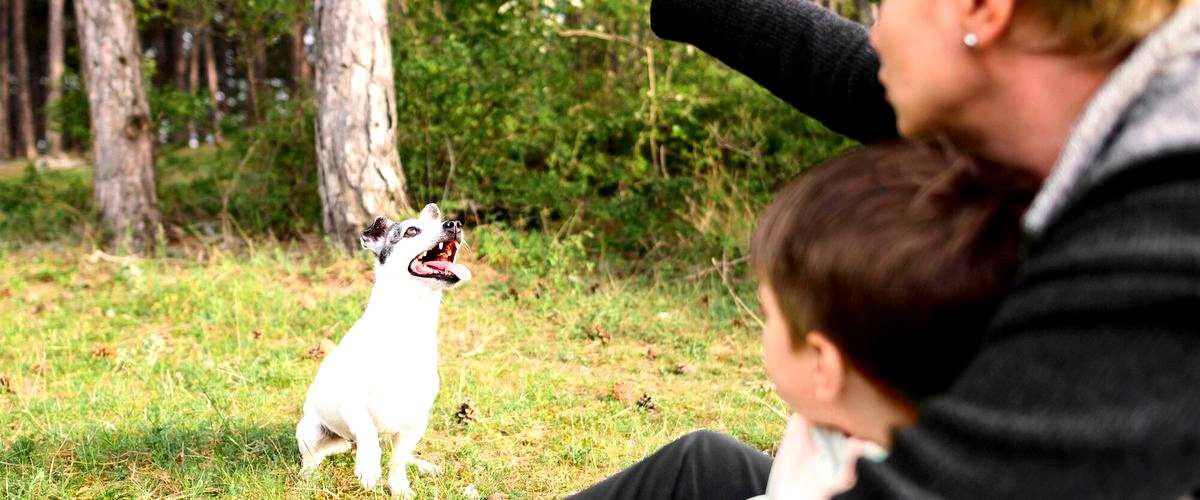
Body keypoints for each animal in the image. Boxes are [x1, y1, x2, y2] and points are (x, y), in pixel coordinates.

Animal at [297, 202, 470, 494]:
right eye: (411, 231)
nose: (454, 224)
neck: (407, 325)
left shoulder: (416, 421)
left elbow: (398, 460)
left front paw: (400, 488)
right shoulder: (353, 404)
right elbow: (368, 433)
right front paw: (368, 469)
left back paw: (422, 465)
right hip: (311, 431)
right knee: (313, 457)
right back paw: (310, 476)